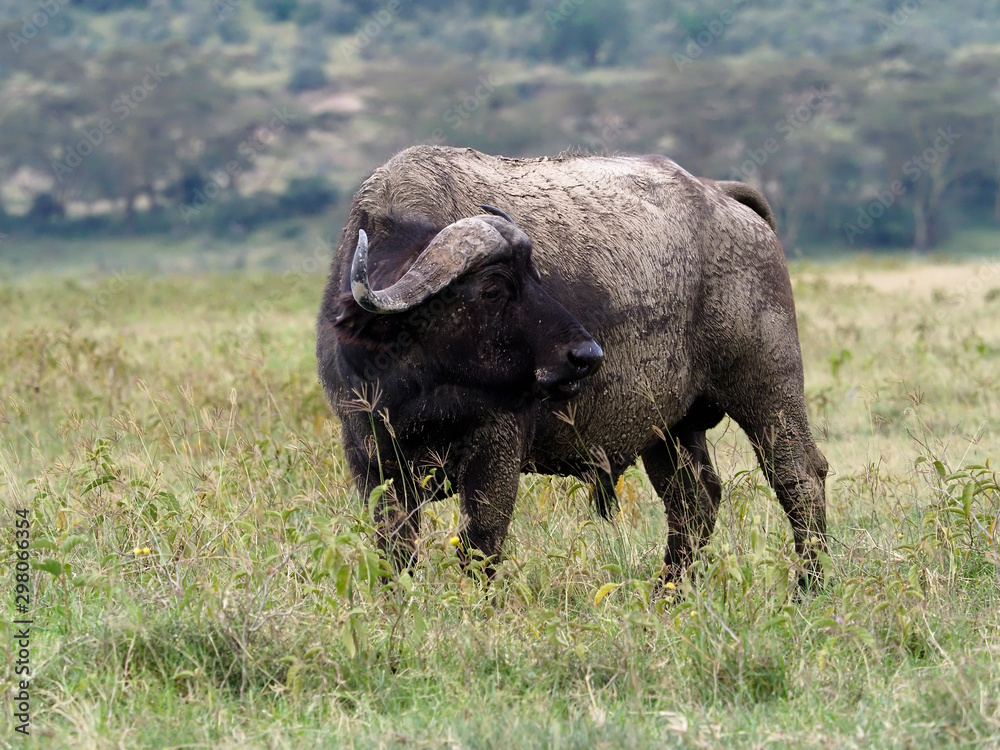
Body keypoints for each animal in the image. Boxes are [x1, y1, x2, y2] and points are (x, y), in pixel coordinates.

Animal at [317, 145, 828, 588]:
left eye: (537, 276)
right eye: (493, 289)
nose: (587, 355)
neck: (415, 384)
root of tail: (724, 198)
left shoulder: (496, 451)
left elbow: (480, 545)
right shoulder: (370, 461)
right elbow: (393, 552)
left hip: (768, 394)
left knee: (800, 478)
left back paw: (808, 586)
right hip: (668, 428)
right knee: (694, 502)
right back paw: (668, 593)